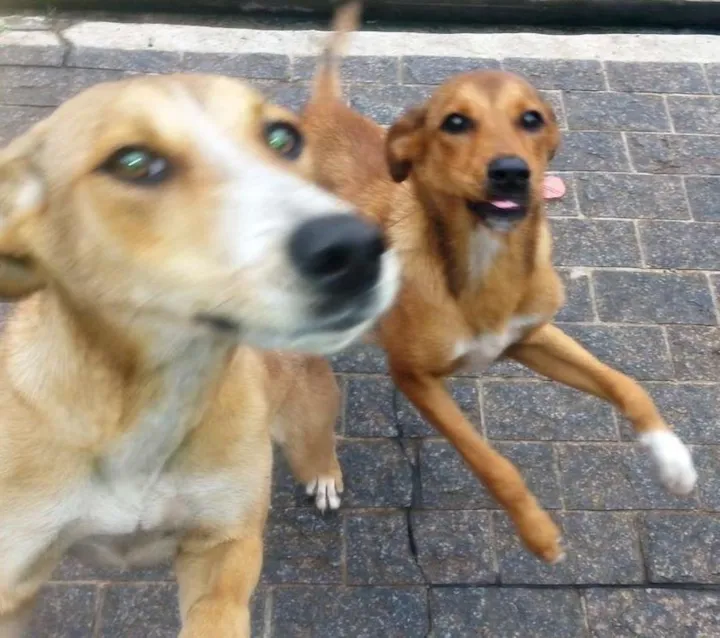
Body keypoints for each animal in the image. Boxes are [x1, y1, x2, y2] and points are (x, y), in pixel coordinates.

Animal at [0, 73, 399, 636]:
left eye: (282, 139)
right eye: (133, 163)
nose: (355, 247)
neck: (147, 404)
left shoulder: (224, 548)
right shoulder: (13, 578)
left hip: (307, 418)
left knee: (317, 444)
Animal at [302, 2, 697, 563]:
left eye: (531, 119)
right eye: (455, 122)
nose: (511, 172)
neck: (488, 260)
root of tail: (320, 112)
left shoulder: (532, 338)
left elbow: (627, 384)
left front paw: (673, 460)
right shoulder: (415, 377)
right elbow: (491, 462)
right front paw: (537, 532)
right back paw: (321, 468)